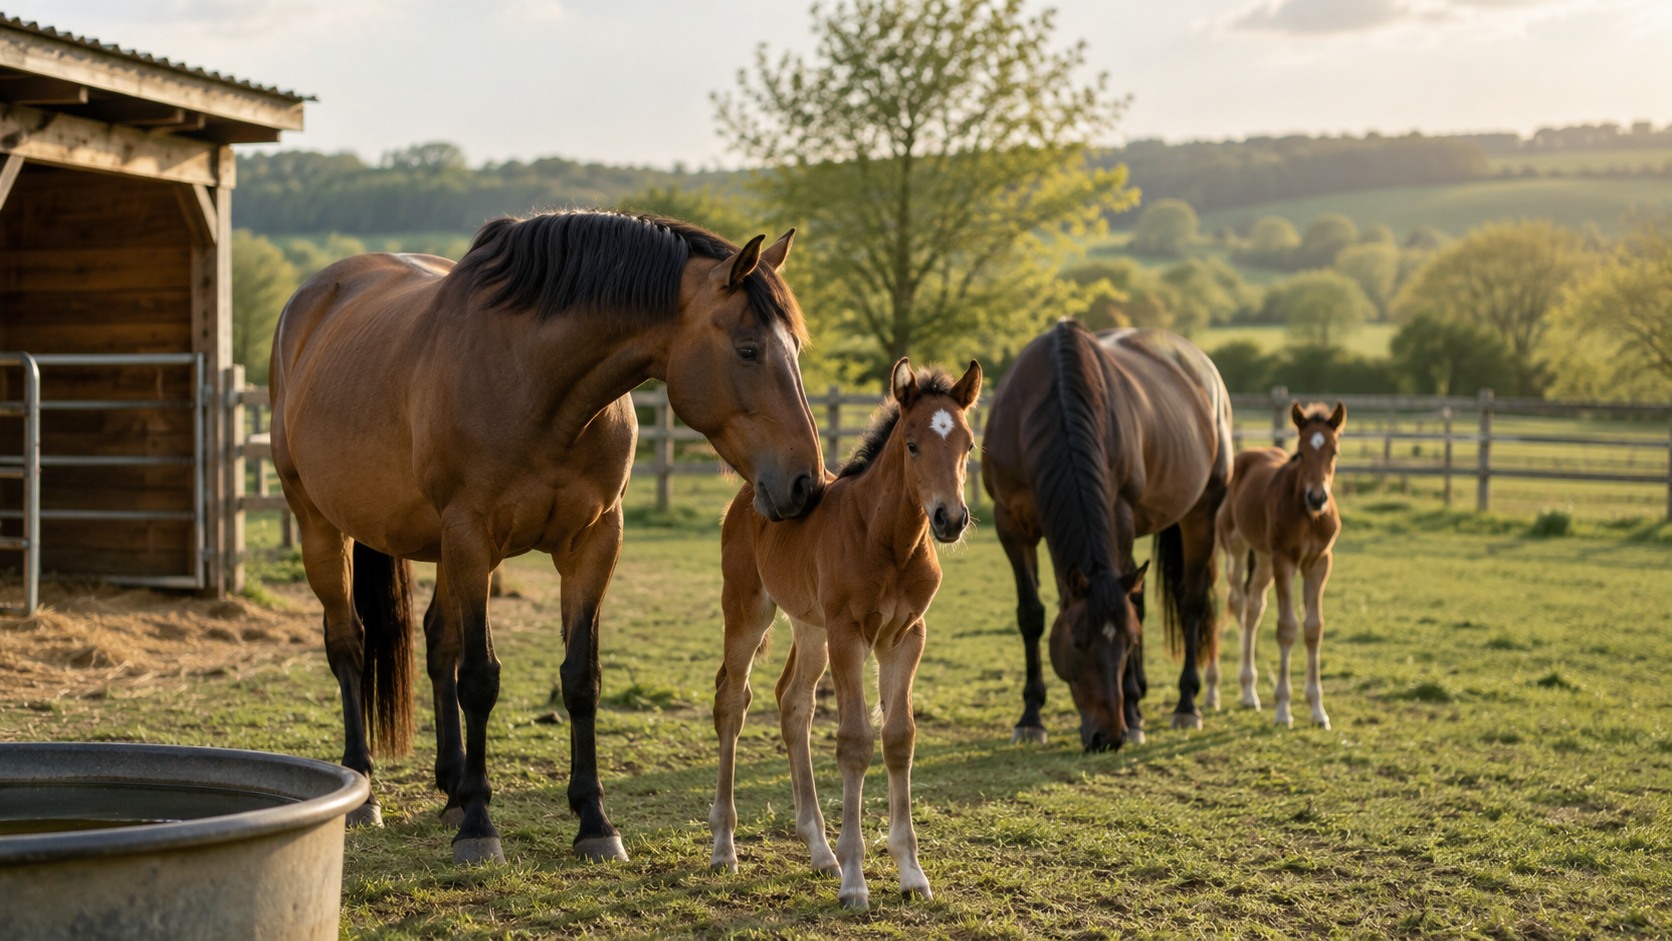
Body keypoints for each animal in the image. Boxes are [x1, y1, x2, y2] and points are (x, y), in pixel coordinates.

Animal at [269, 210, 826, 865]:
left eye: (794, 349)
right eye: (747, 349)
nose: (805, 484)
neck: (535, 384)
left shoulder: (593, 542)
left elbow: (580, 678)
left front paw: (594, 821)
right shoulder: (470, 535)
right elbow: (479, 679)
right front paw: (479, 827)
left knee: (437, 643)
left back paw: (452, 785)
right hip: (321, 526)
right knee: (349, 645)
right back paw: (365, 789)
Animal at [709, 358, 981, 911]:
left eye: (967, 445)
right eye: (912, 445)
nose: (950, 519)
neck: (889, 541)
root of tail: (754, 490)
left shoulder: (906, 637)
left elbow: (899, 738)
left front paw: (911, 873)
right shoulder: (849, 634)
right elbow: (855, 741)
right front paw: (855, 880)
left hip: (810, 628)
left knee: (793, 703)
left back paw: (818, 850)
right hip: (749, 610)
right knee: (731, 700)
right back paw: (725, 847)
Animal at [981, 320, 1233, 752]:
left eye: (1127, 644)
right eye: (1077, 642)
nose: (1108, 738)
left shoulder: (1119, 513)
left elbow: (1131, 608)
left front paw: (1132, 713)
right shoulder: (1010, 524)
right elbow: (1030, 615)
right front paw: (1031, 717)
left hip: (1201, 513)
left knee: (1192, 603)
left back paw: (1182, 705)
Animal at [1207, 401, 1345, 730]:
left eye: (1334, 451)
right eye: (1301, 452)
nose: (1317, 497)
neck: (1309, 516)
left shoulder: (1319, 563)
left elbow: (1313, 628)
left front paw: (1318, 710)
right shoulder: (1284, 560)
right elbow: (1287, 627)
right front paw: (1283, 710)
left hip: (1264, 560)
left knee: (1253, 608)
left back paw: (1249, 693)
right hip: (1235, 550)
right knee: (1231, 604)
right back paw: (1214, 692)